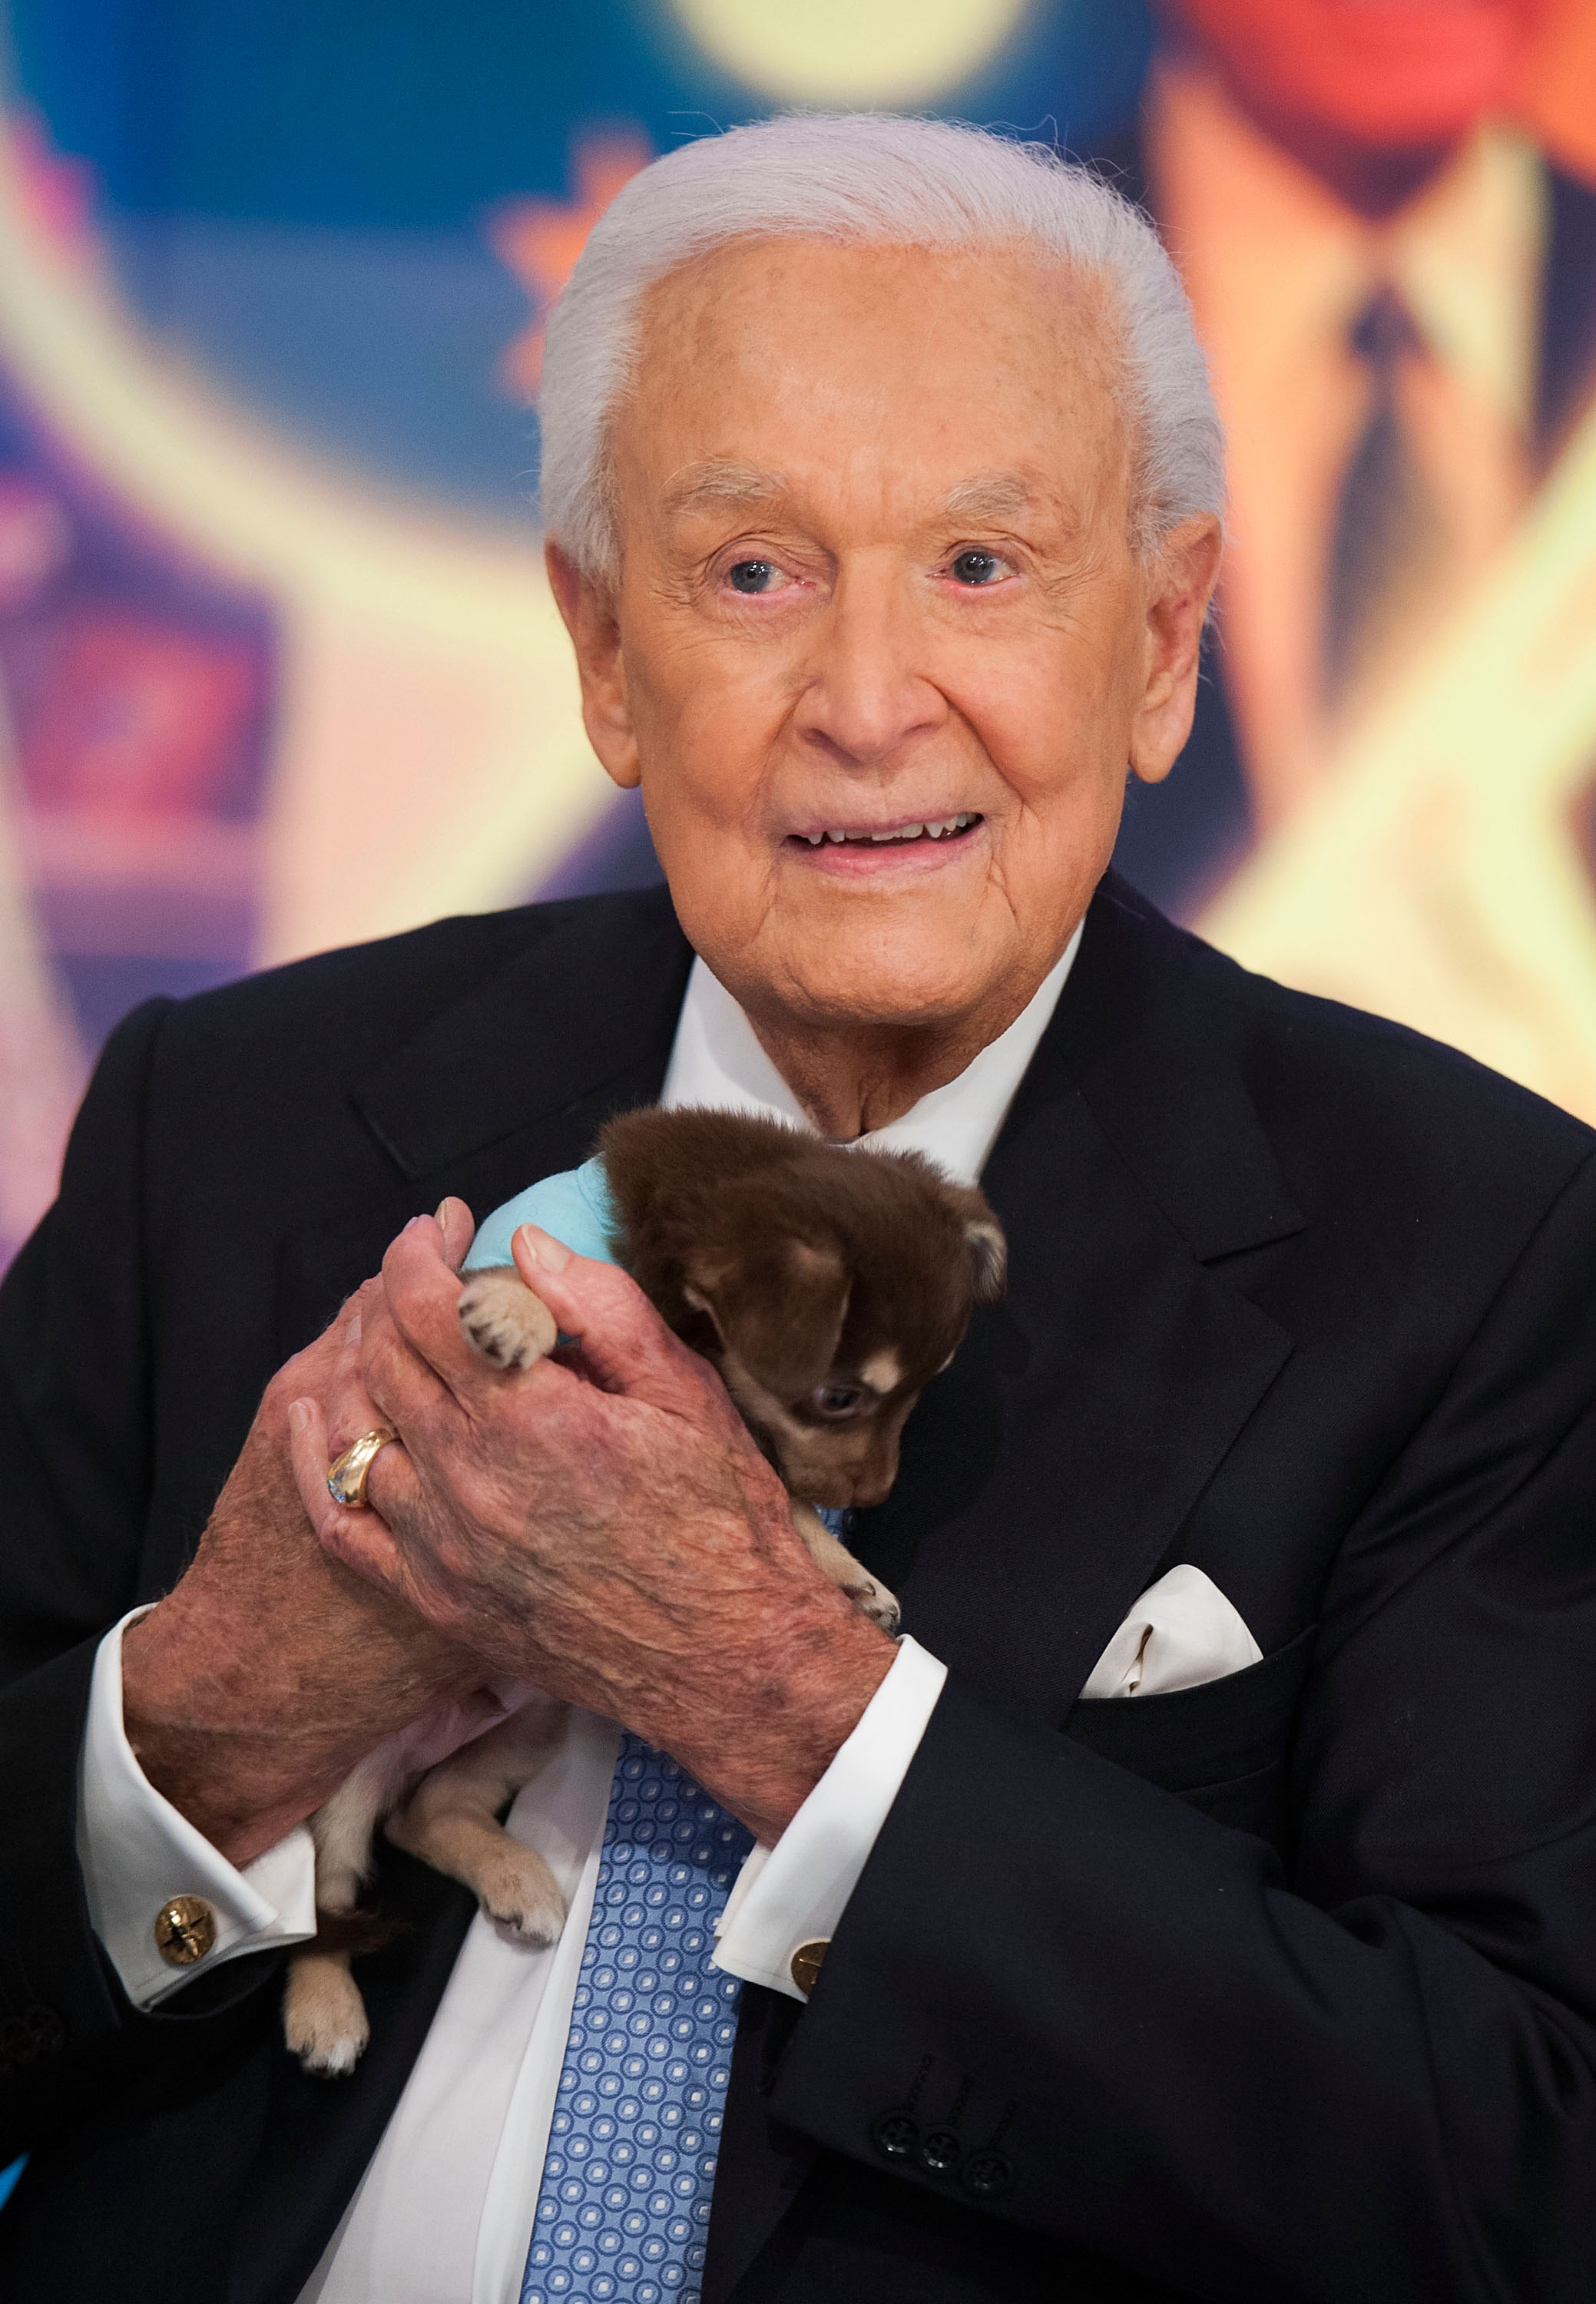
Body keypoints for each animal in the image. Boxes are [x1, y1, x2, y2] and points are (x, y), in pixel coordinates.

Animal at [282, 1106, 1004, 2083]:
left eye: (922, 1392)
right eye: (839, 1395)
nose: (876, 1494)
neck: (684, 1320)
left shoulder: (733, 1425)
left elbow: (778, 1498)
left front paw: (846, 1576)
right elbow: (522, 1271)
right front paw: (518, 1309)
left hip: (529, 1718)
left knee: (421, 1813)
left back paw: (515, 1881)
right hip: (344, 1774)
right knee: (320, 1901)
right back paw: (323, 2010)